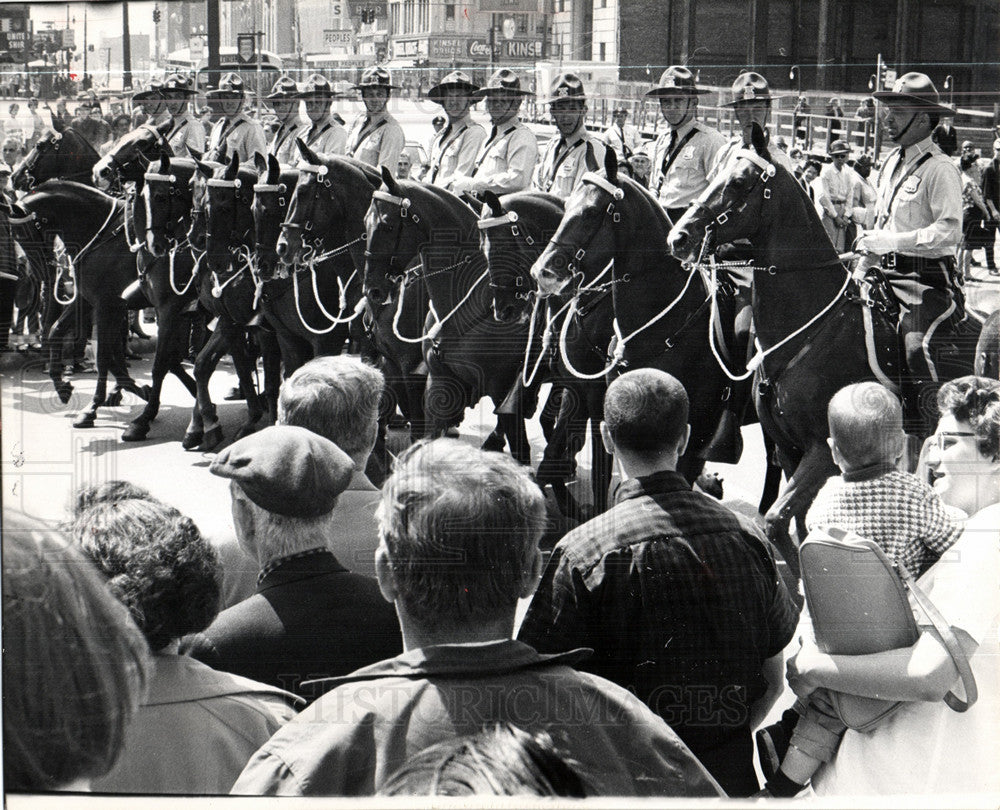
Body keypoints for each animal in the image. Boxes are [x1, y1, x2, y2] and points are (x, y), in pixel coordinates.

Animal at [8, 181, 150, 422]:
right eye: (16, 237)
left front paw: (92, 407)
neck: (99, 233)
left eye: (25, 233)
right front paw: (63, 387)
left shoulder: (105, 304)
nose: (44, 272)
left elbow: (104, 355)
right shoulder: (89, 301)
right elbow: (56, 331)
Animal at [364, 169, 536, 460]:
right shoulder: (431, 378)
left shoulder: (501, 389)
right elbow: (422, 434)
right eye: (365, 223)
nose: (372, 289)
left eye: (387, 226)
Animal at [668, 123, 988, 572]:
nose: (678, 237)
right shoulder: (788, 448)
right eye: (714, 174)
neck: (811, 327)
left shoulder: (821, 448)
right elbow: (796, 521)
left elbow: (776, 517)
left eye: (739, 182)